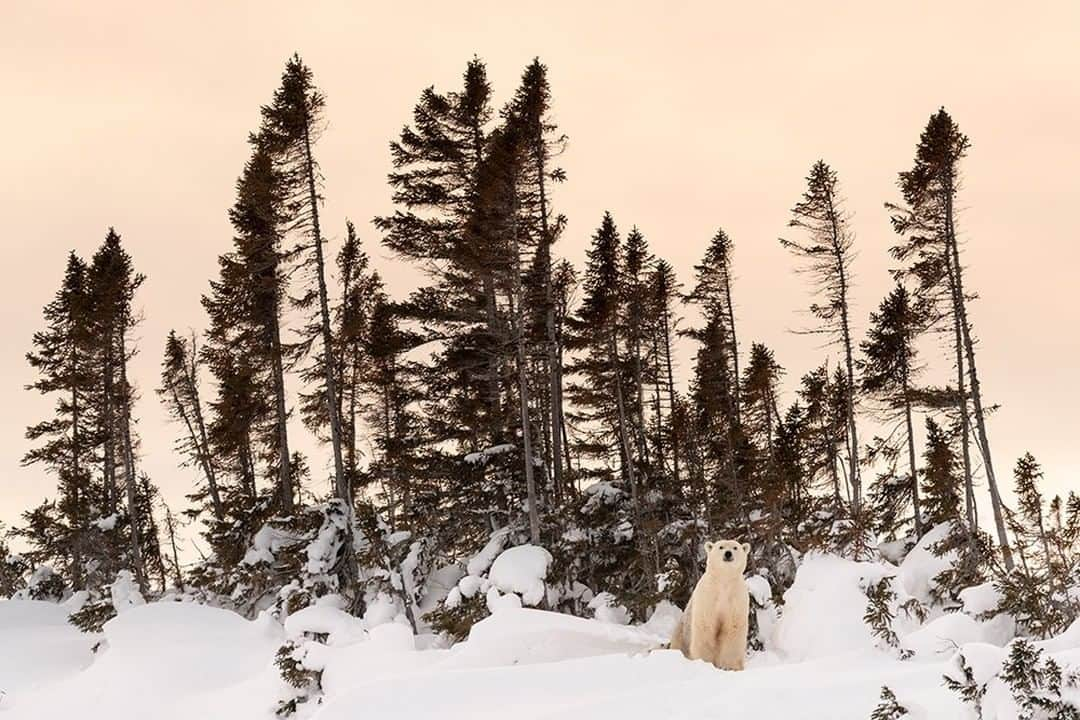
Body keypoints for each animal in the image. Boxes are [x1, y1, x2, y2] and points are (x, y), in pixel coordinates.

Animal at [669, 539, 747, 669]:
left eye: (735, 547)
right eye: (721, 547)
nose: (728, 553)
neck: (723, 582)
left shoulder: (736, 599)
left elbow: (732, 628)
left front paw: (730, 666)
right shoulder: (708, 597)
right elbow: (705, 627)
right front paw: (704, 661)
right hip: (682, 631)